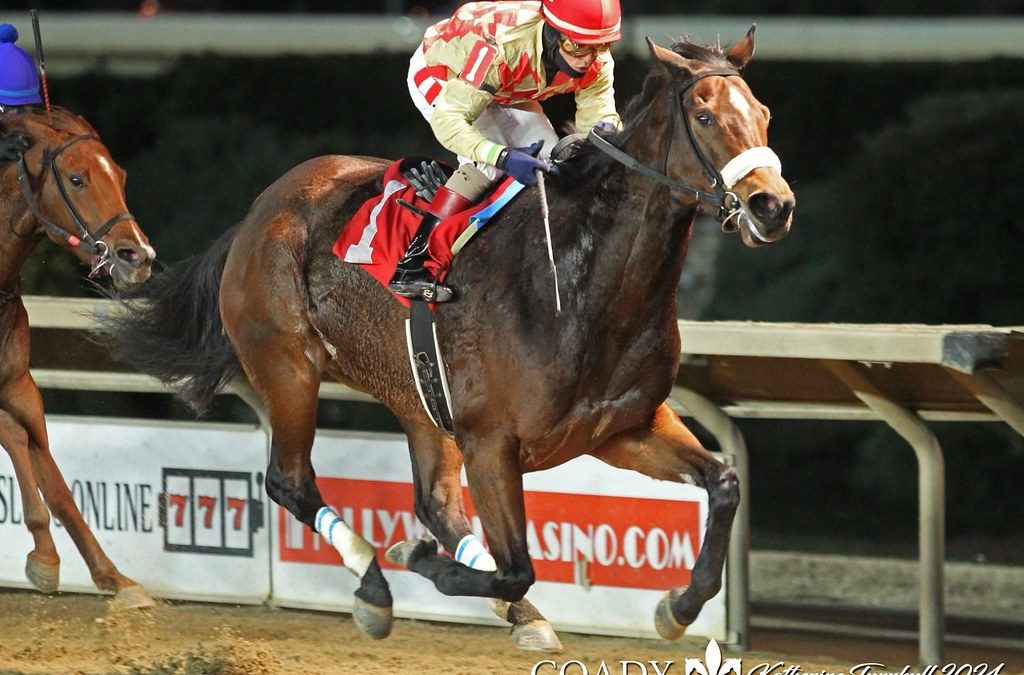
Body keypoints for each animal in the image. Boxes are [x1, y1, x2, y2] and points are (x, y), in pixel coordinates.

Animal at [0, 106, 156, 610]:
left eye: (120, 176)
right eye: (76, 178)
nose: (138, 256)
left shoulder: (19, 384)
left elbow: (51, 473)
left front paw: (114, 577)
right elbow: (17, 437)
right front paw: (44, 555)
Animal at [99, 30, 793, 647]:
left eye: (762, 114)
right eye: (704, 116)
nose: (773, 207)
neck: (581, 285)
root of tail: (257, 213)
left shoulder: (621, 427)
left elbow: (724, 485)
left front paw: (679, 606)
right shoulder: (492, 442)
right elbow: (517, 566)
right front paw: (419, 559)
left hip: (420, 398)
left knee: (436, 502)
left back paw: (510, 610)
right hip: (287, 368)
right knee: (290, 483)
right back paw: (376, 587)